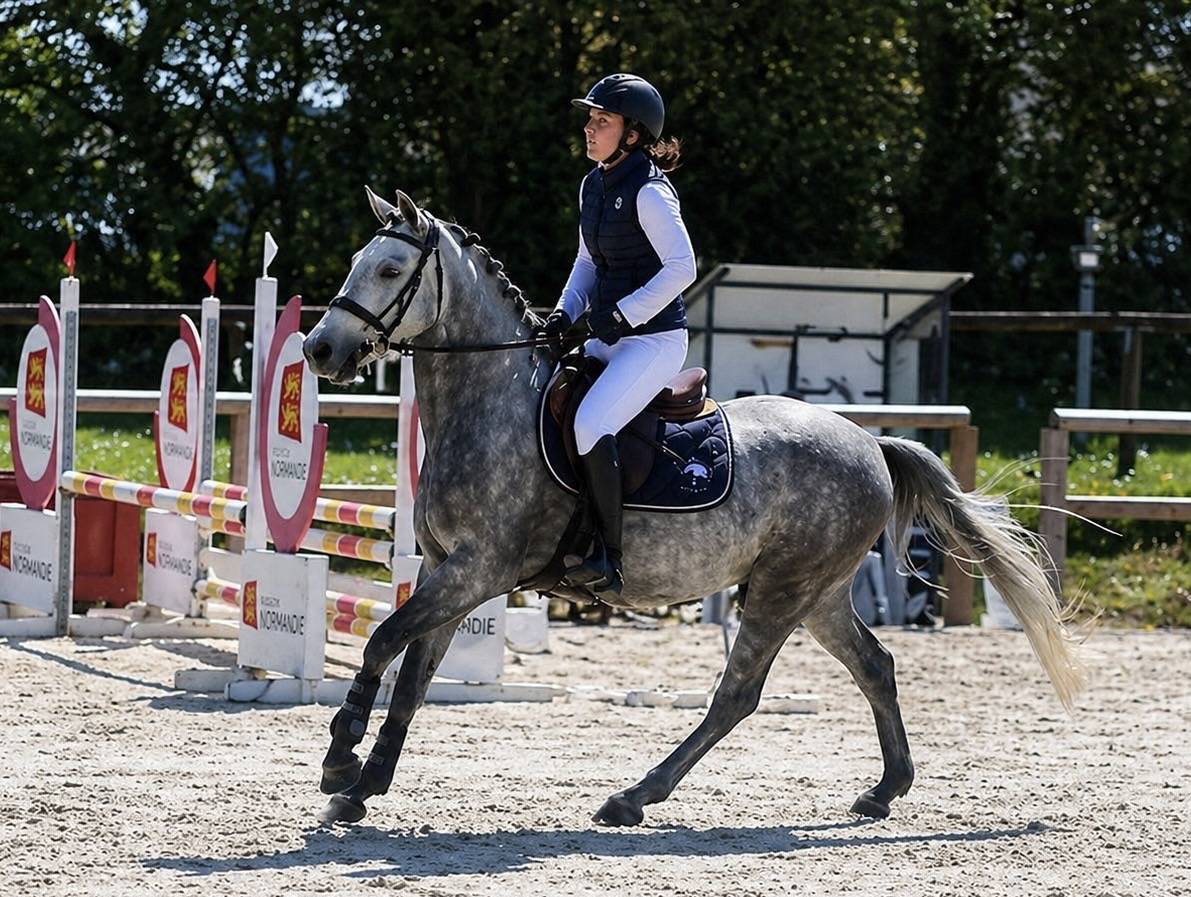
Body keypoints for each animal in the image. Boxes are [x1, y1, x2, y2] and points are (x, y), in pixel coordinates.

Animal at [301, 186, 1088, 828]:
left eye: (390, 271)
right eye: (358, 262)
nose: (318, 349)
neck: (490, 403)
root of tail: (868, 440)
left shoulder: (477, 570)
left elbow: (380, 641)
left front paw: (340, 758)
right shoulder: (449, 570)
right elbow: (411, 675)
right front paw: (363, 787)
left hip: (780, 589)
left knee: (737, 694)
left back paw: (633, 797)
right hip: (819, 591)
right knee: (875, 665)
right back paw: (884, 788)